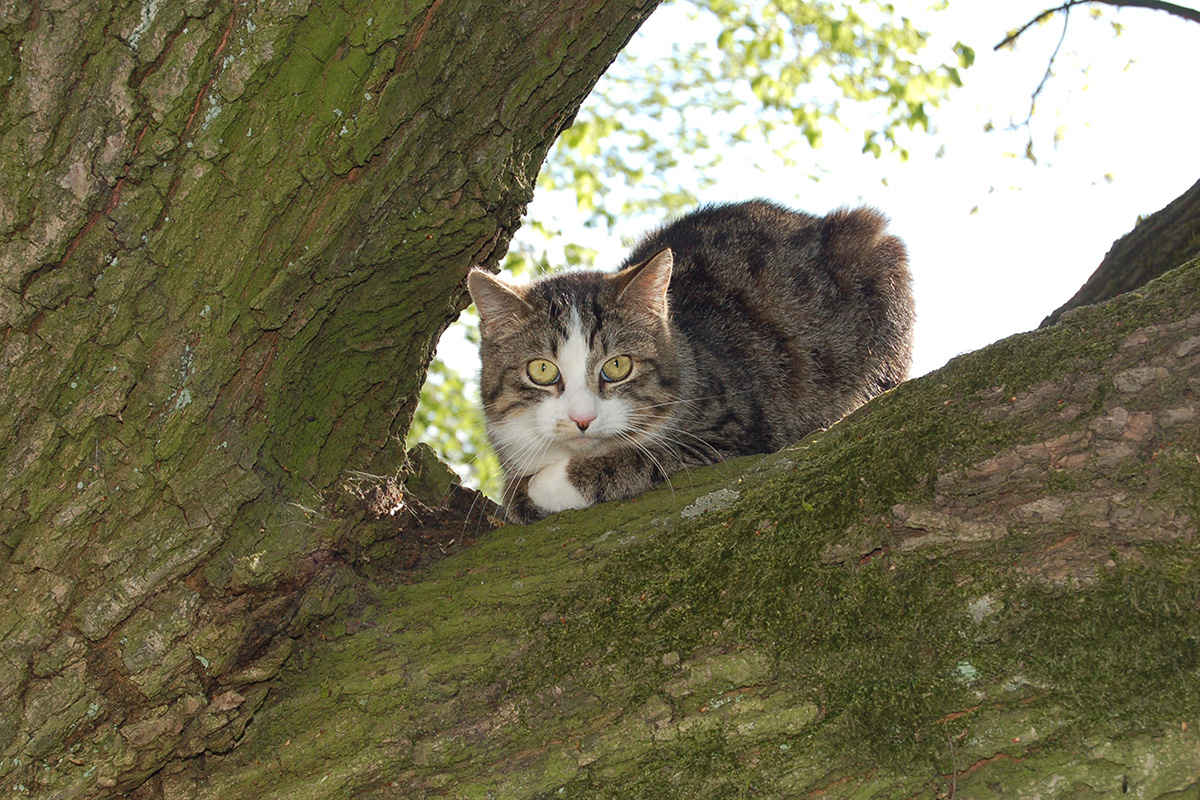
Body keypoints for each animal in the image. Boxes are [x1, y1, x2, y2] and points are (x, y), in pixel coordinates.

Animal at [465, 199, 907, 525]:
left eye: (617, 366)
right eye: (542, 370)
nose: (582, 418)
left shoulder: (735, 432)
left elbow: (643, 458)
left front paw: (549, 483)